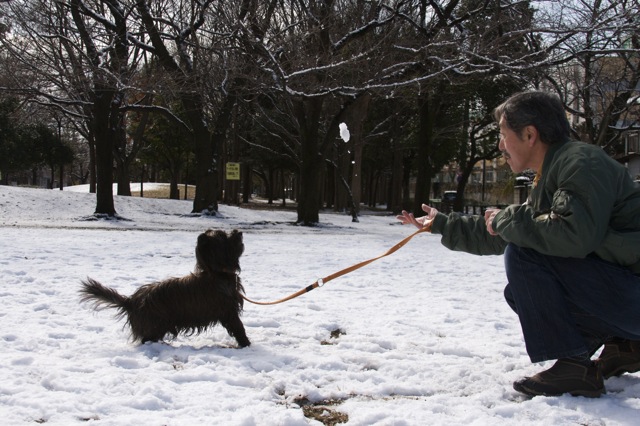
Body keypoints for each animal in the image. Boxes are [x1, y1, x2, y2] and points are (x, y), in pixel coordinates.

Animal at [79, 230, 249, 346]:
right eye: (223, 236)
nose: (239, 232)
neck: (217, 272)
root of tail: (131, 301)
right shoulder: (228, 311)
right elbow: (238, 327)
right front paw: (246, 343)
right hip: (156, 324)